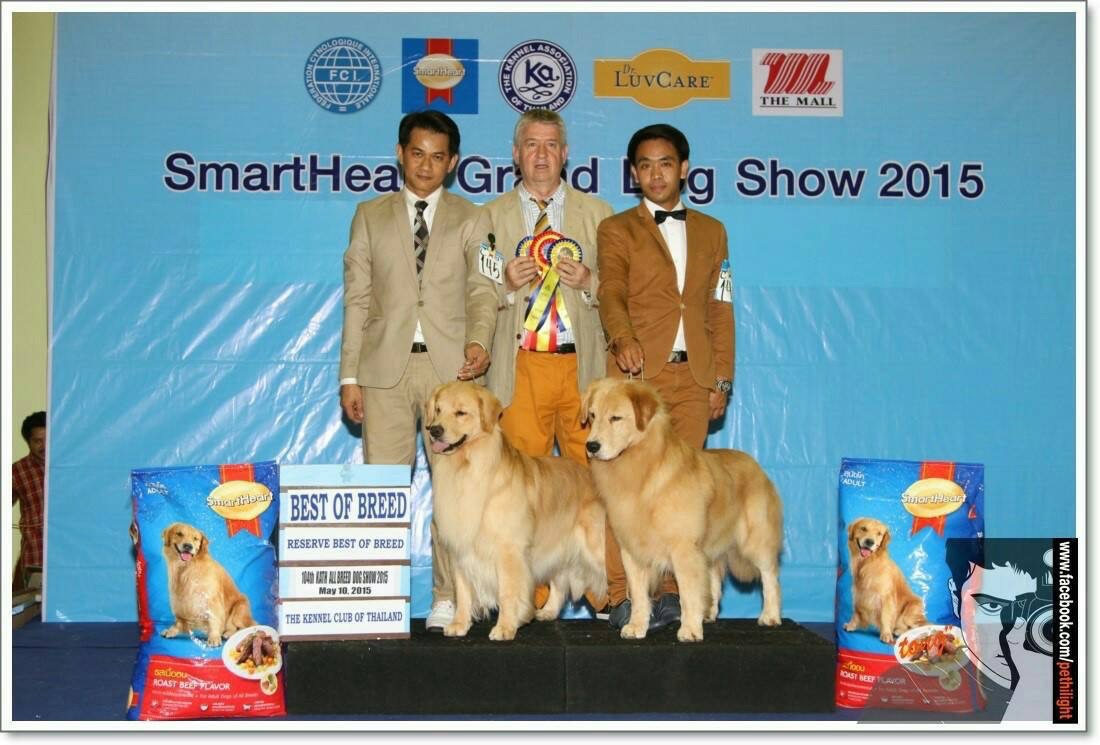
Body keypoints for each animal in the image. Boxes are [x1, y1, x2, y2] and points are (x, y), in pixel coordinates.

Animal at [425, 381, 607, 641]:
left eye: (461, 413)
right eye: (438, 410)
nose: (434, 430)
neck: (467, 466)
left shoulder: (508, 550)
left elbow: (507, 591)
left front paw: (505, 627)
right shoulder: (461, 549)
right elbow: (463, 591)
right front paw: (459, 624)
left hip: (596, 546)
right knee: (559, 581)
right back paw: (548, 612)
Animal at [582, 378, 784, 642]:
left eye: (615, 418)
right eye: (592, 415)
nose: (591, 446)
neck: (645, 470)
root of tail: (755, 464)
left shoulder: (684, 548)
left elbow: (688, 594)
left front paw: (689, 630)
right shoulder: (632, 551)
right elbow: (638, 595)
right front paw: (636, 626)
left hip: (755, 540)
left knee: (770, 576)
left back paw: (770, 616)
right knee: (714, 579)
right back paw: (708, 614)